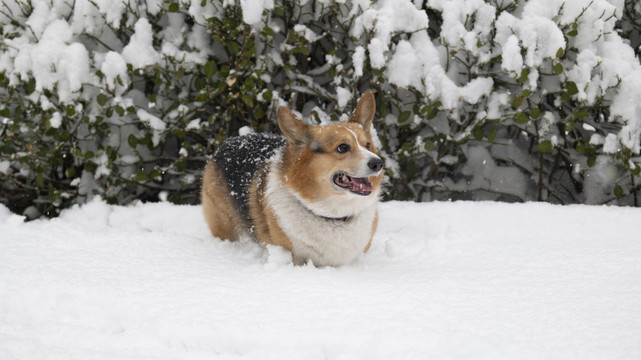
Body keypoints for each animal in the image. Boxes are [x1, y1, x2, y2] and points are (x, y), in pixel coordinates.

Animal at [201, 92, 380, 268]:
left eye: (368, 145)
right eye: (342, 147)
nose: (378, 163)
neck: (333, 216)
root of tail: (227, 142)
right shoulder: (292, 256)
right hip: (223, 223)